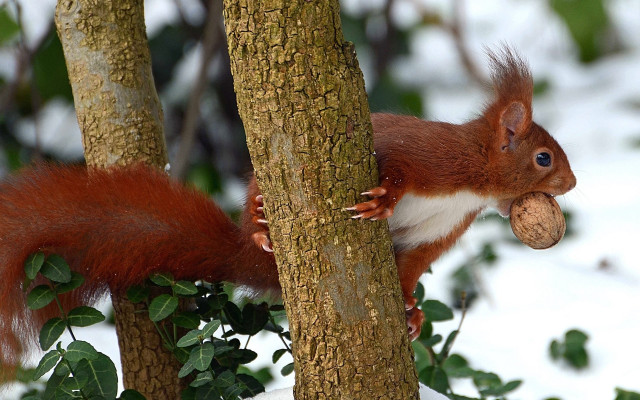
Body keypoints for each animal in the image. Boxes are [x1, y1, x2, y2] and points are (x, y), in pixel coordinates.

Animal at [0, 48, 575, 371]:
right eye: (544, 158)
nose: (571, 183)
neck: (473, 187)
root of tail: (253, 261)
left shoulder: (441, 230)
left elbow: (410, 268)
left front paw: (412, 311)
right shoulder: (433, 159)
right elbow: (394, 165)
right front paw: (384, 199)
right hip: (262, 189)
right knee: (256, 203)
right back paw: (257, 224)